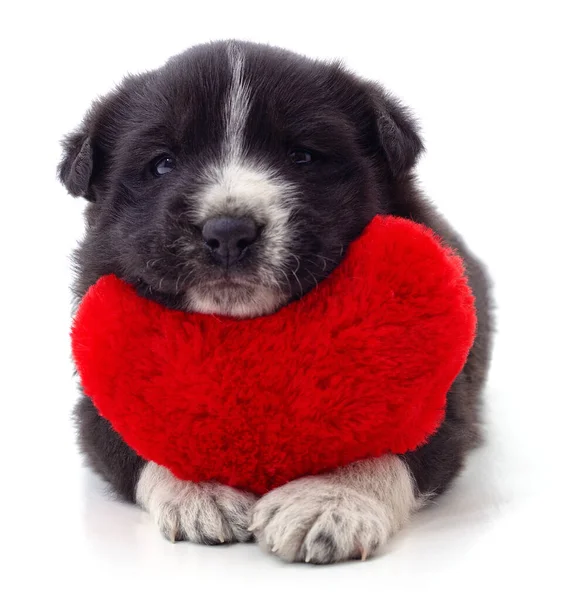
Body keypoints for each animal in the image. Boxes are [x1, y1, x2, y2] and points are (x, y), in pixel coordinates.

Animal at [59, 39, 496, 564]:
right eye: (162, 163)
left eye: (301, 156)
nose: (229, 232)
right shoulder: (96, 399)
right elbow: (138, 445)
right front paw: (200, 490)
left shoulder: (445, 398)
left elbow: (394, 448)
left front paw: (329, 500)